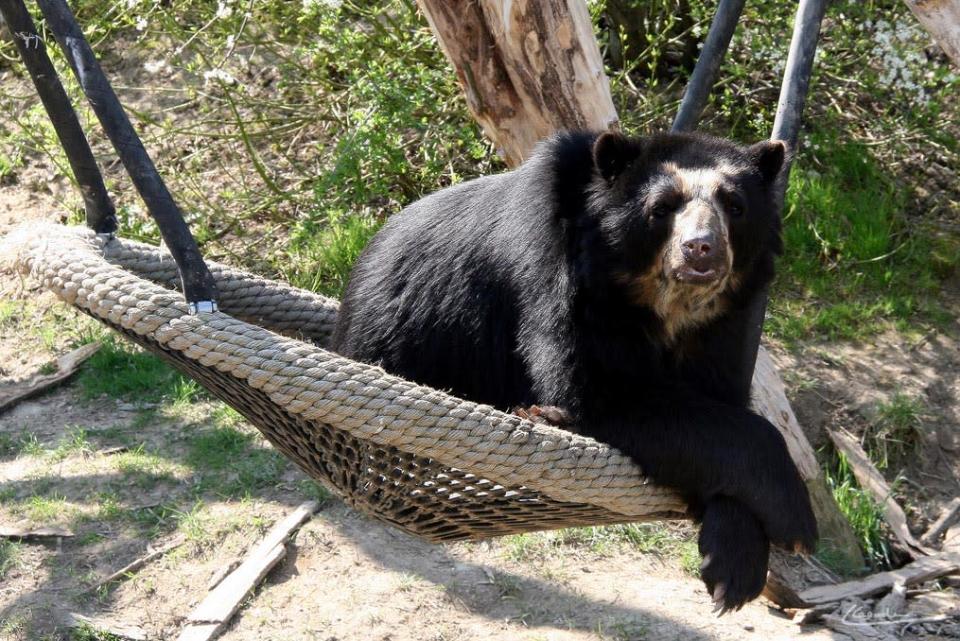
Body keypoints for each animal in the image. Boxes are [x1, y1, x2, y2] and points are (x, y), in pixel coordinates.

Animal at [332, 129, 816, 608]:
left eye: (735, 206)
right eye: (661, 208)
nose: (701, 249)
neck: (662, 306)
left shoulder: (727, 325)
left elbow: (721, 406)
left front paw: (734, 567)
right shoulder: (557, 275)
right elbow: (593, 388)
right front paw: (796, 520)